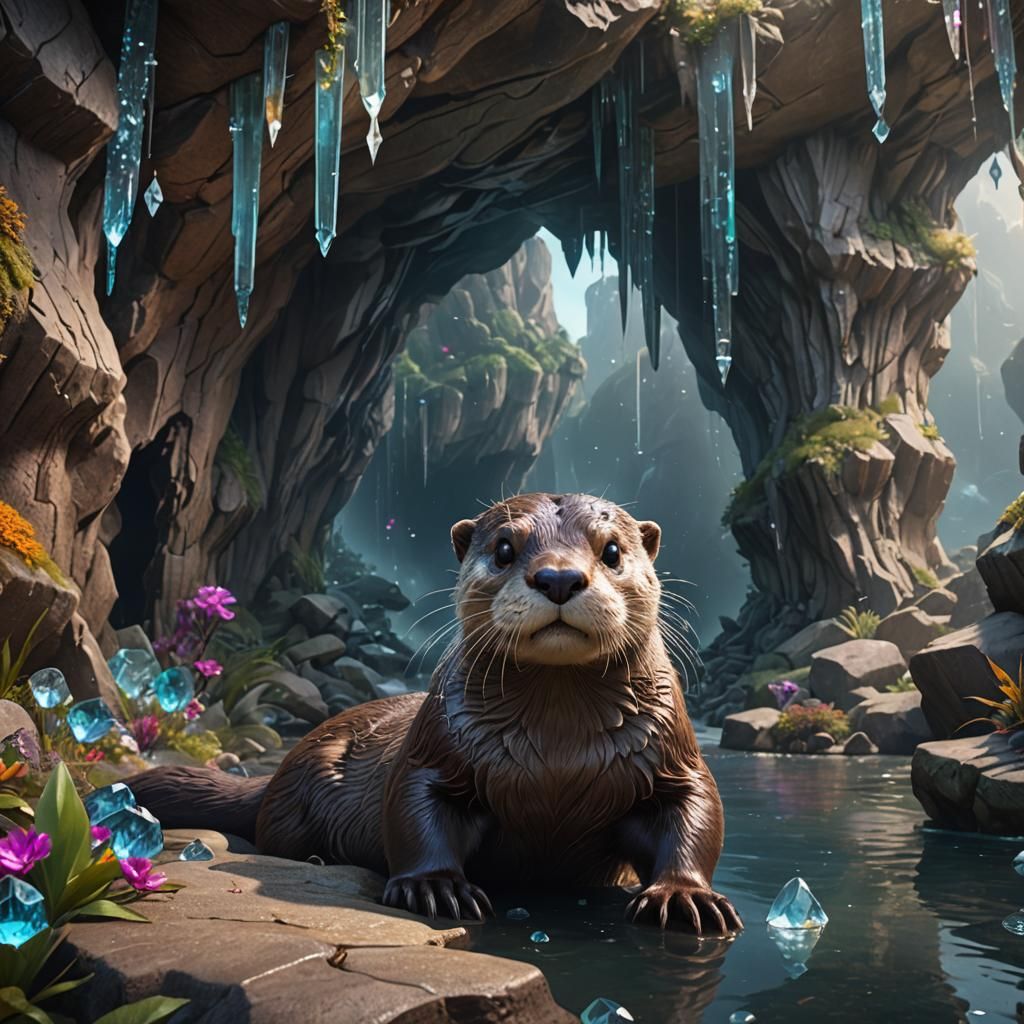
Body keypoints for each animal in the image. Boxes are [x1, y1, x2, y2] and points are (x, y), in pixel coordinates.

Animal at [130, 494, 741, 934]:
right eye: (504, 549)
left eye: (612, 550)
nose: (559, 578)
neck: (559, 759)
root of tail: (279, 769)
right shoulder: (434, 750)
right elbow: (412, 807)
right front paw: (436, 887)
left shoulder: (675, 756)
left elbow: (696, 810)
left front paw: (685, 895)